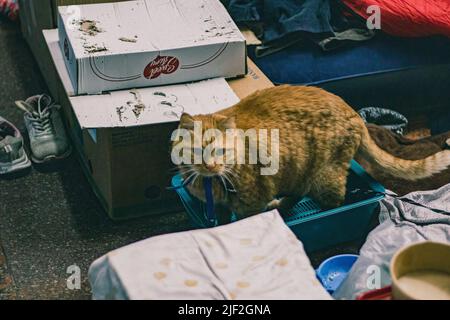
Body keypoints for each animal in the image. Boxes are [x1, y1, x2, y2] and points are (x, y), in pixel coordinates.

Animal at [171, 84, 450, 220]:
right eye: (198, 150)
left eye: (221, 151)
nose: (210, 167)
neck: (211, 184)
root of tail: (351, 110)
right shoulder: (216, 206)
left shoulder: (249, 207)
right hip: (296, 171)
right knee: (298, 193)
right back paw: (279, 204)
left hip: (324, 179)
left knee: (333, 202)